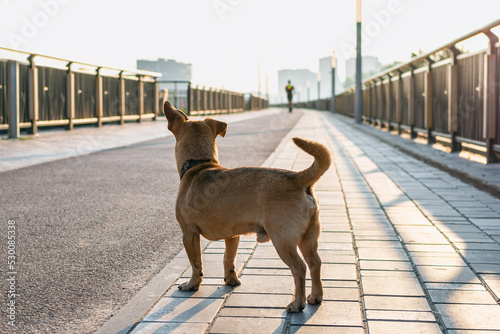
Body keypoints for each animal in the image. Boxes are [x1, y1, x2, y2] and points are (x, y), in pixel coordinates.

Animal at [164, 100, 332, 312]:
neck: (199, 164)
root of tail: (296, 178)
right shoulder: (232, 236)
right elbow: (228, 259)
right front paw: (231, 280)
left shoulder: (189, 234)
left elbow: (196, 264)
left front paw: (192, 284)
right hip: (307, 238)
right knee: (315, 263)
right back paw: (315, 297)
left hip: (283, 240)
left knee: (299, 268)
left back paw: (297, 303)